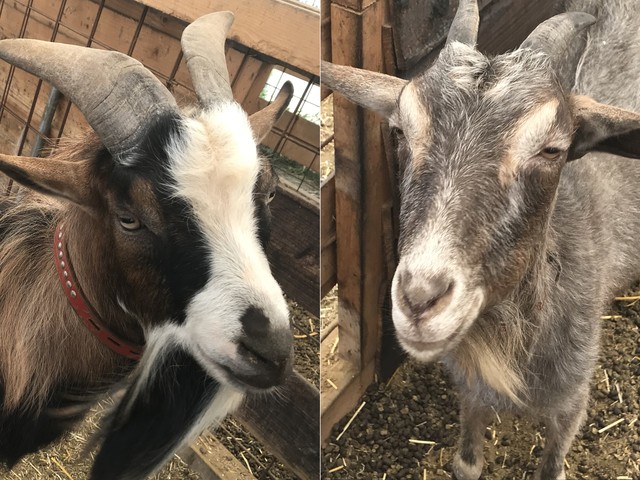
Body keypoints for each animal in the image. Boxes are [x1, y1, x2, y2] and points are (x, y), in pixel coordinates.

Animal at [324, 0, 640, 480]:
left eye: (552, 149)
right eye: (400, 131)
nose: (419, 299)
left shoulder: (573, 398)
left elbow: (553, 464)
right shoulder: (471, 386)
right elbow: (469, 461)